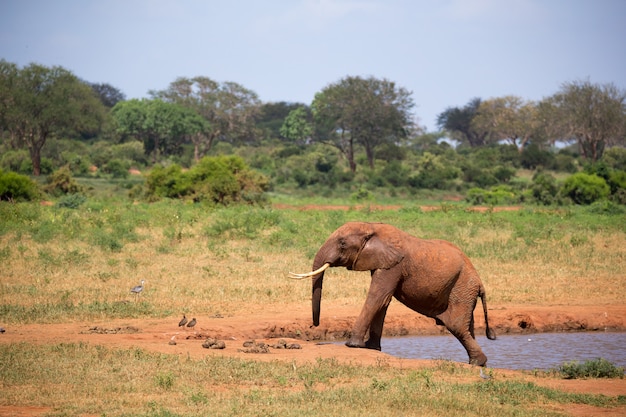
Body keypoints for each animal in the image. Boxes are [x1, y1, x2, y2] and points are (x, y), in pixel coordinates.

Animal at [290, 221, 494, 364]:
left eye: (342, 243)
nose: (314, 325)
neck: (371, 227)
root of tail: (480, 283)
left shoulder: (394, 266)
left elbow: (376, 297)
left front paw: (353, 345)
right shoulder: (382, 262)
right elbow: (383, 301)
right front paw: (371, 347)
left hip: (462, 288)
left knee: (456, 326)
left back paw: (478, 363)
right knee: (467, 328)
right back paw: (477, 363)